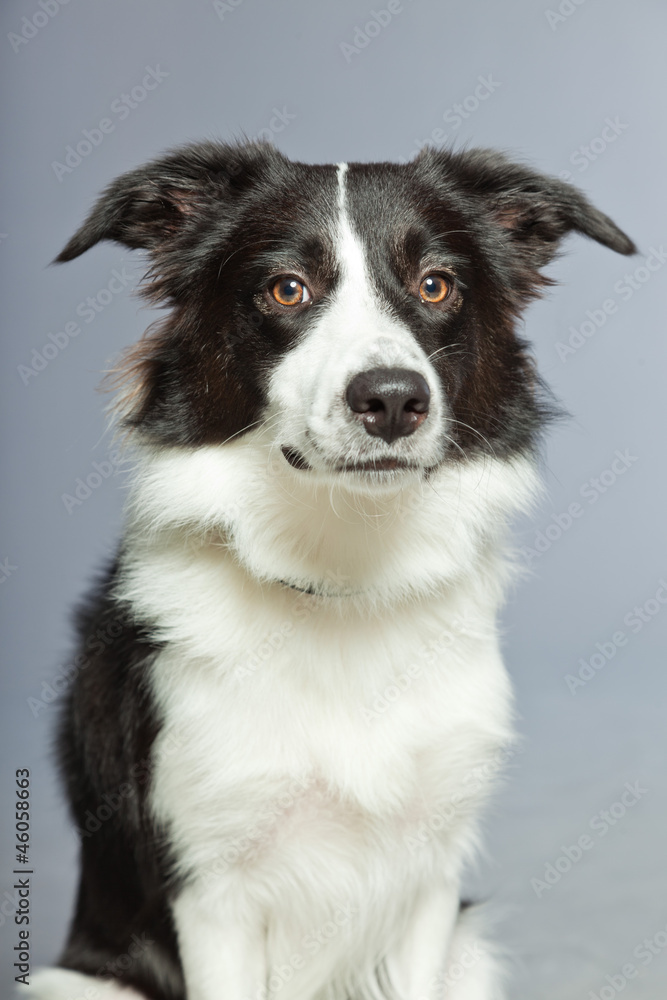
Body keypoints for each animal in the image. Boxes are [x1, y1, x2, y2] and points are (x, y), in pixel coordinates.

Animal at [28, 143, 636, 1000]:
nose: (392, 400)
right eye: (287, 288)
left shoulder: (429, 881)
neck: (344, 575)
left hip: (469, 953)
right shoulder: (211, 889)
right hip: (76, 981)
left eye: (435, 284)